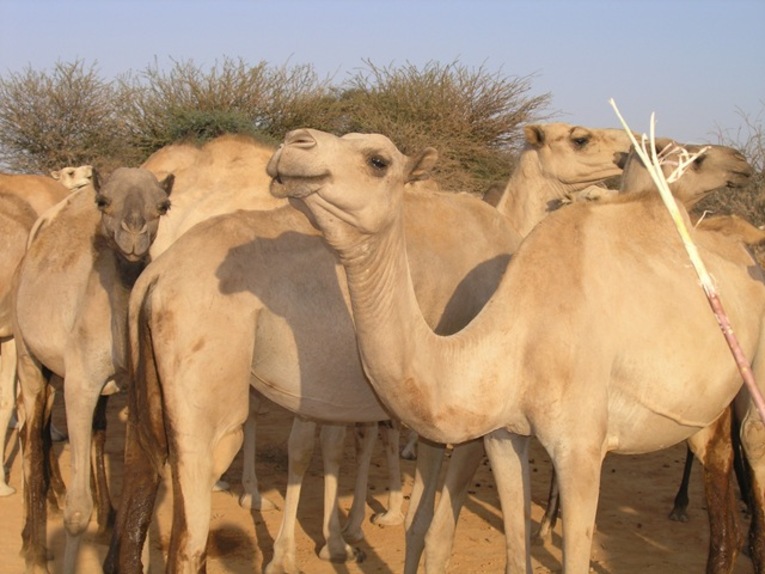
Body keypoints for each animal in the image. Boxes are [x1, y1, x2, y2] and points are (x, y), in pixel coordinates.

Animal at [13, 168, 172, 574]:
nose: (134, 233)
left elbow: (137, 480)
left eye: (163, 205)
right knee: (31, 434)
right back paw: (34, 550)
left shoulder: (133, 385)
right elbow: (76, 510)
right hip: (26, 353)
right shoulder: (80, 384)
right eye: (104, 201)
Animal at [98, 122, 628, 574]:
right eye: (580, 137)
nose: (627, 151)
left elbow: (412, 513)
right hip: (207, 403)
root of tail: (158, 275)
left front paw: (352, 535)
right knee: (191, 534)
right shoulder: (470, 417)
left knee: (141, 488)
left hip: (151, 396)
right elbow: (437, 532)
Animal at [268, 128, 764, 572]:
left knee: (751, 442)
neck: (515, 336)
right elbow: (513, 553)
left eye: (378, 160)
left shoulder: (581, 450)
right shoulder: (504, 435)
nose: (293, 143)